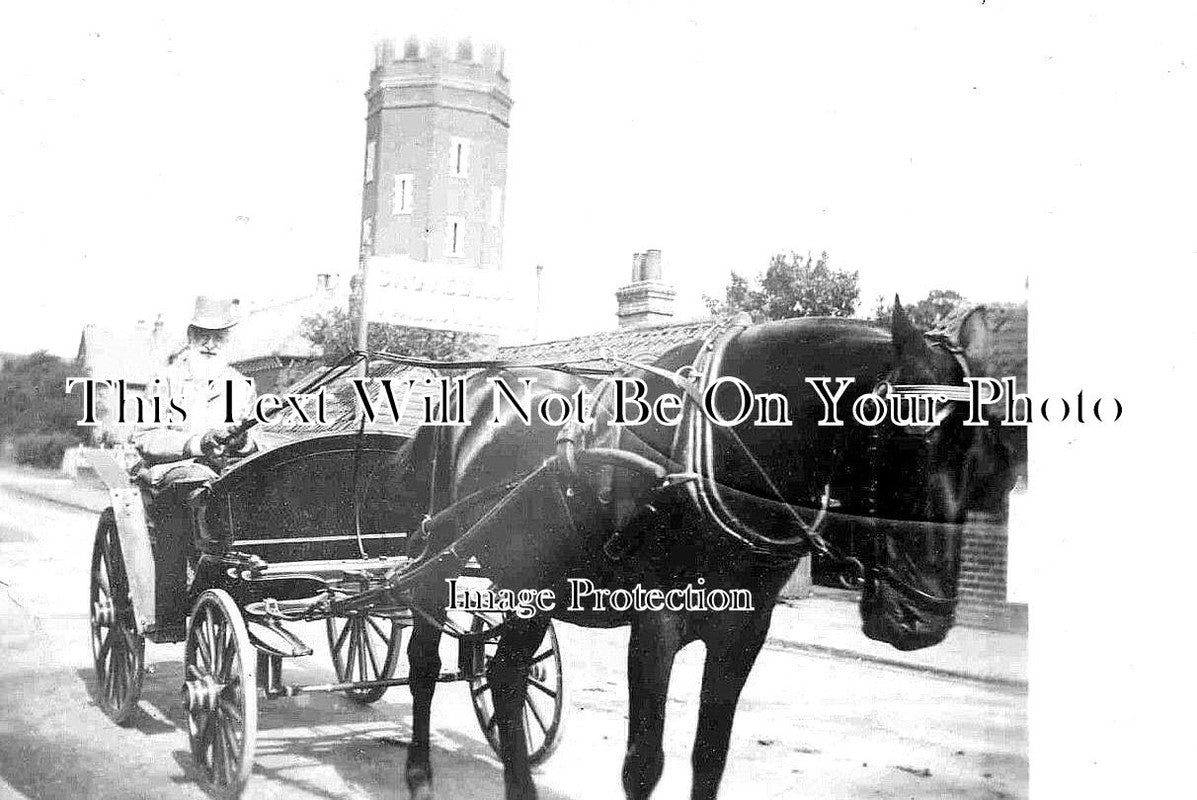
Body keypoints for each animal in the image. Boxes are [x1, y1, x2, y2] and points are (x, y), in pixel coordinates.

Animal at [392, 301, 1010, 800]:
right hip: (439, 560)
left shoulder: (744, 630)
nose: (920, 621)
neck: (715, 451)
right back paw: (419, 773)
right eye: (904, 437)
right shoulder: (656, 624)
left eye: (982, 453)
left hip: (531, 578)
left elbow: (710, 755)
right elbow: (644, 763)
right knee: (426, 662)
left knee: (505, 674)